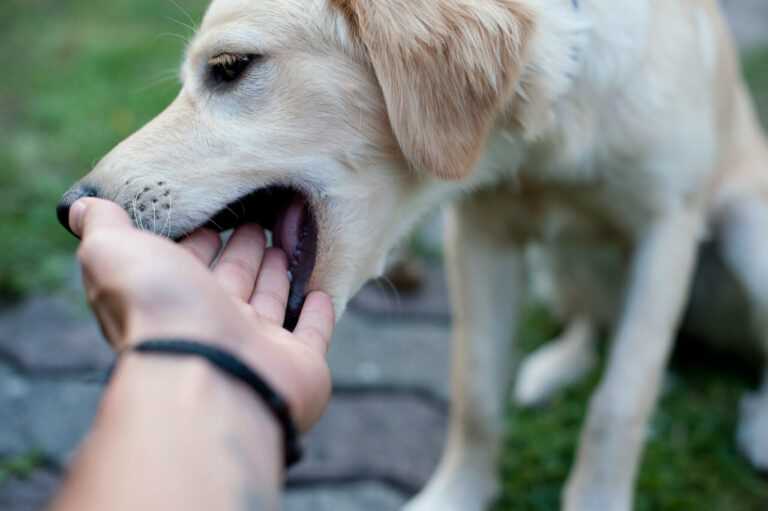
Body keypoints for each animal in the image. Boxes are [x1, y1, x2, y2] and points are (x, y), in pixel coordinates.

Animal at [58, 1, 768, 511]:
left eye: (231, 67)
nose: (70, 208)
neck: (546, 130)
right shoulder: (481, 234)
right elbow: (476, 392)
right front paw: (456, 497)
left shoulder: (666, 229)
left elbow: (619, 403)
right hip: (556, 270)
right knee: (593, 323)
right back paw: (552, 369)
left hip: (745, 232)